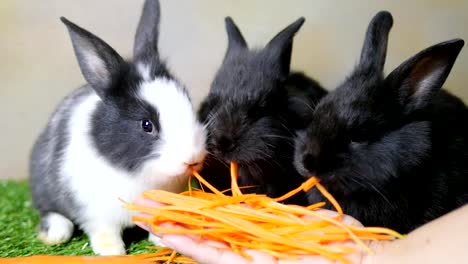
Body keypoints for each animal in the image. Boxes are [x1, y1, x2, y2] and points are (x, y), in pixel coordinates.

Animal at [29, 0, 205, 256]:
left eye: (189, 104)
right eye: (146, 125)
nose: (192, 159)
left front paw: (162, 240)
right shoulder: (97, 213)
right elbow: (104, 231)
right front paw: (112, 252)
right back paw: (54, 234)